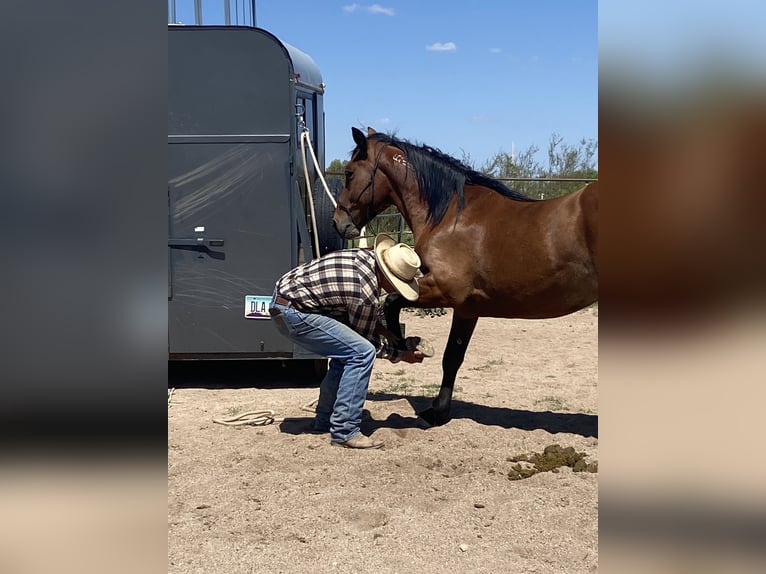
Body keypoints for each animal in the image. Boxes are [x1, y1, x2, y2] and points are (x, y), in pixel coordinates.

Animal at [334, 129, 600, 428]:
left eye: (349, 173)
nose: (338, 222)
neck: (452, 215)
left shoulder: (445, 290)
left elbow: (391, 302)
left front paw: (402, 346)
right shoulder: (467, 308)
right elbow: (453, 357)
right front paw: (439, 411)